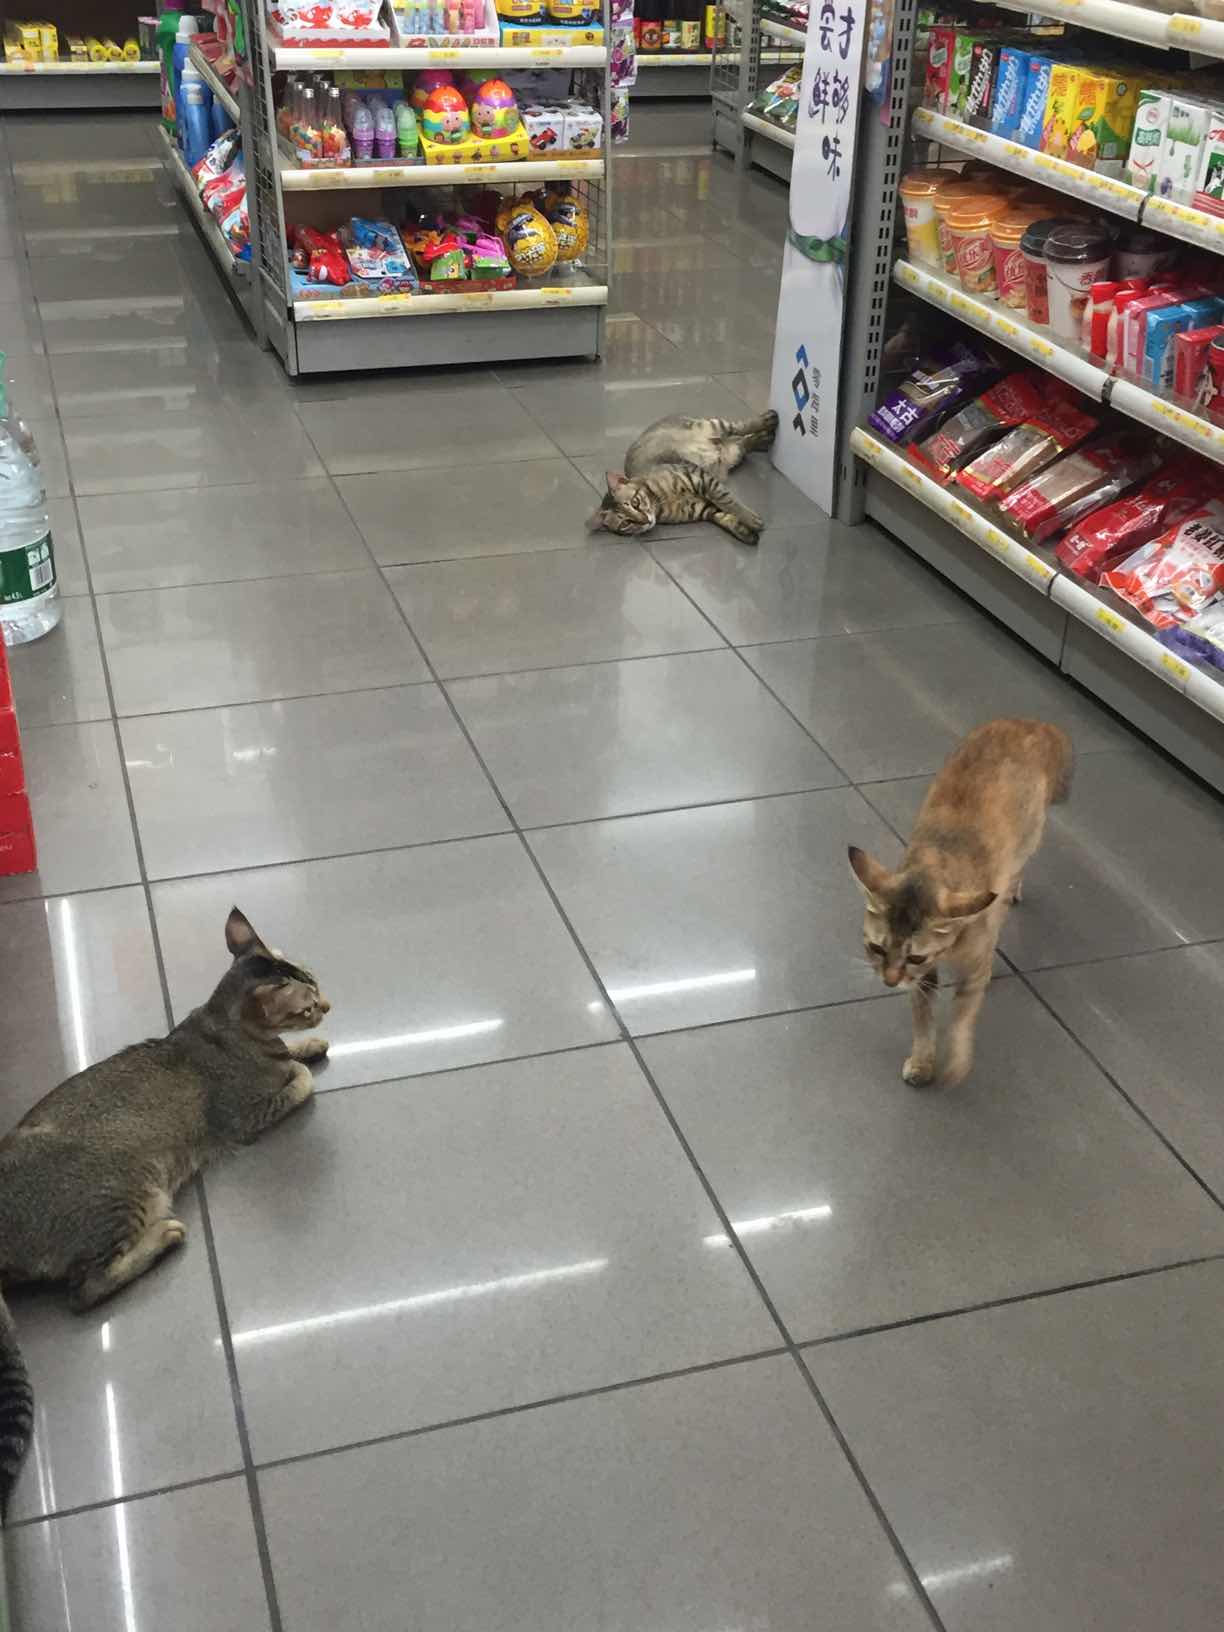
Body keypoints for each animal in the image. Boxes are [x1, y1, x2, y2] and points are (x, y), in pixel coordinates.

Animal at [0, 907, 329, 1517]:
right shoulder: (245, 1116)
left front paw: (311, 1046)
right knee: (85, 1290)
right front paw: (303, 1057)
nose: (328, 1005)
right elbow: (297, 1083)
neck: (220, 1029)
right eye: (307, 1001)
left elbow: (292, 1058)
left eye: (316, 982)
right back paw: (165, 1238)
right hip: (129, 1191)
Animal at [588, 410, 780, 543]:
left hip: (712, 425)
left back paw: (769, 419)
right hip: (732, 453)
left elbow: (728, 501)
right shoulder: (702, 508)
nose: (645, 521)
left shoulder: (699, 477)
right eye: (626, 523)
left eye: (635, 503)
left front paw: (751, 519)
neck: (660, 502)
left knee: (739, 426)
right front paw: (745, 532)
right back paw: (765, 438)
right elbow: (724, 517)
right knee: (743, 442)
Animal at [848, 718, 1072, 1089]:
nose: (889, 981)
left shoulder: (965, 963)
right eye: (877, 948)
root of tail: (1032, 722)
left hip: (1025, 843)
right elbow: (923, 1020)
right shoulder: (922, 980)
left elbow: (963, 1016)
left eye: (915, 956)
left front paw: (956, 1061)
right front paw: (922, 1062)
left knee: (1010, 883)